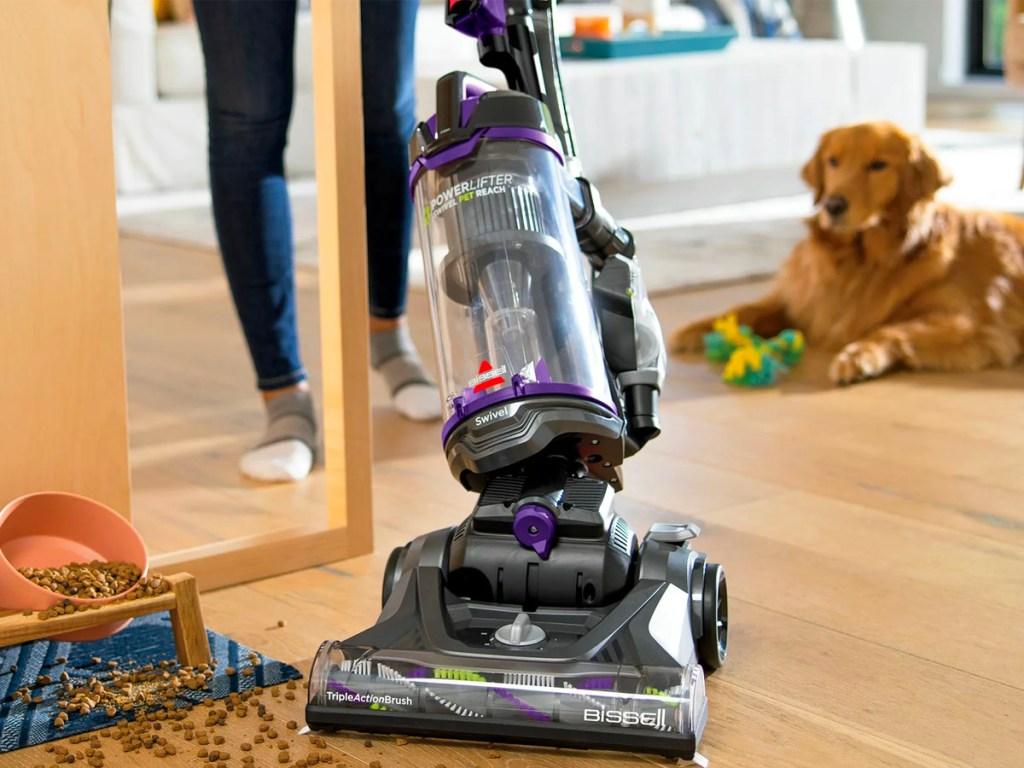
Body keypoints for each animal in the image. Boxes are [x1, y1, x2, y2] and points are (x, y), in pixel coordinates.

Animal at [671, 122, 1024, 385]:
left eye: (878, 165)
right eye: (833, 161)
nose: (833, 205)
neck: (860, 261)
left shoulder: (969, 323)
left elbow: (891, 329)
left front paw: (858, 356)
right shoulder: (804, 299)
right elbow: (746, 309)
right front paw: (696, 329)